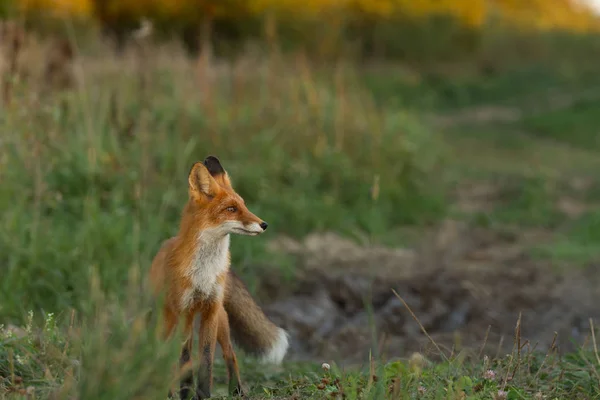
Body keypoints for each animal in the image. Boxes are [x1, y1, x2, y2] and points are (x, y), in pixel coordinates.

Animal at [150, 157, 290, 400]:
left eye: (243, 205)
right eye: (231, 209)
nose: (264, 224)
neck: (204, 273)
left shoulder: (211, 309)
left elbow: (206, 360)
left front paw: (203, 394)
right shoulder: (184, 310)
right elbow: (184, 359)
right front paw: (186, 394)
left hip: (221, 321)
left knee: (230, 354)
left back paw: (237, 390)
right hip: (169, 321)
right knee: (168, 356)